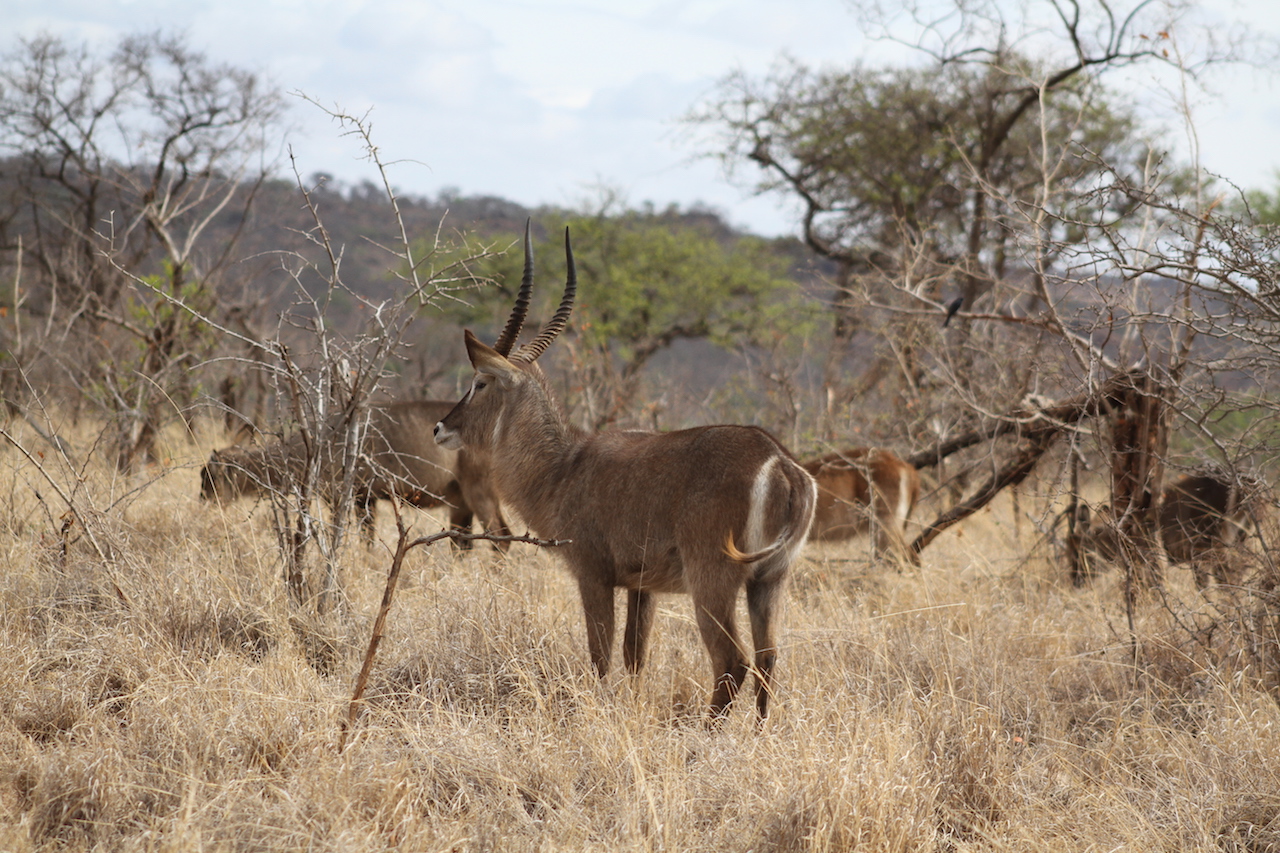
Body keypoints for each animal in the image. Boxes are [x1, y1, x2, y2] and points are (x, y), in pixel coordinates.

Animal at [197, 399, 506, 545]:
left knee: (501, 538)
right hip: (459, 501)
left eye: (208, 477)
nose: (204, 503)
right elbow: (366, 540)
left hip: (479, 492)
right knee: (462, 545)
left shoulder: (347, 497)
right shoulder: (362, 499)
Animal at [435, 224, 819, 717]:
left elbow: (600, 654)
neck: (562, 468)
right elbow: (635, 654)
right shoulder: (643, 585)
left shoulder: (593, 573)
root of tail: (780, 461)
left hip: (713, 577)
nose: (440, 427)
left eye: (479, 383)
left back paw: (702, 730)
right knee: (769, 660)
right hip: (770, 579)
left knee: (733, 661)